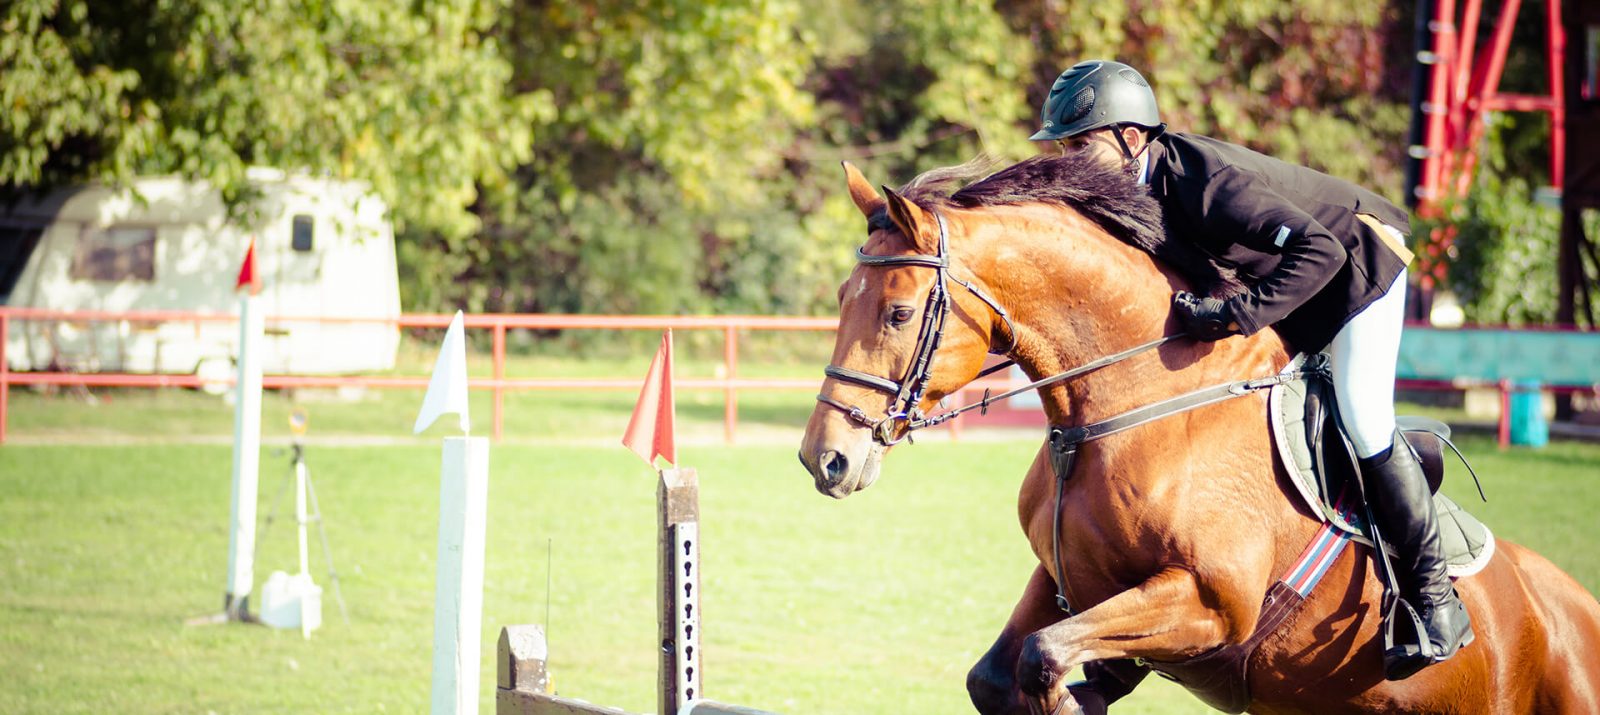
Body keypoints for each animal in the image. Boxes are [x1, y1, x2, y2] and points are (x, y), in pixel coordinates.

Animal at [800, 158, 1600, 715]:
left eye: (899, 313)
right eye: (841, 298)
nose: (825, 458)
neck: (1131, 403)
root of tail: (1573, 607)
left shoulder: (1209, 602)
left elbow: (1042, 659)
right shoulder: (1070, 580)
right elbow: (1002, 673)